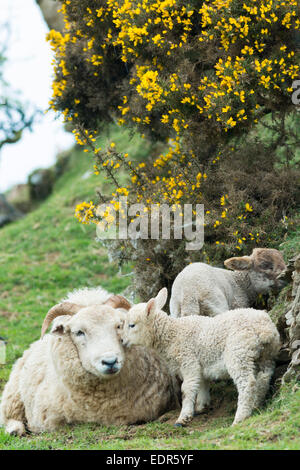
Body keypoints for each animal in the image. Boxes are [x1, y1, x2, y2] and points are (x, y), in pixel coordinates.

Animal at [120, 288, 282, 428]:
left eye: (132, 325)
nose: (122, 340)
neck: (172, 334)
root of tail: (264, 330)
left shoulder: (188, 361)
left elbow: (187, 389)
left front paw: (183, 418)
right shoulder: (200, 364)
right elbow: (203, 384)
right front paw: (201, 407)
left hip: (238, 352)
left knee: (247, 383)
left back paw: (240, 418)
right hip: (267, 354)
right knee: (264, 377)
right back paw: (256, 404)